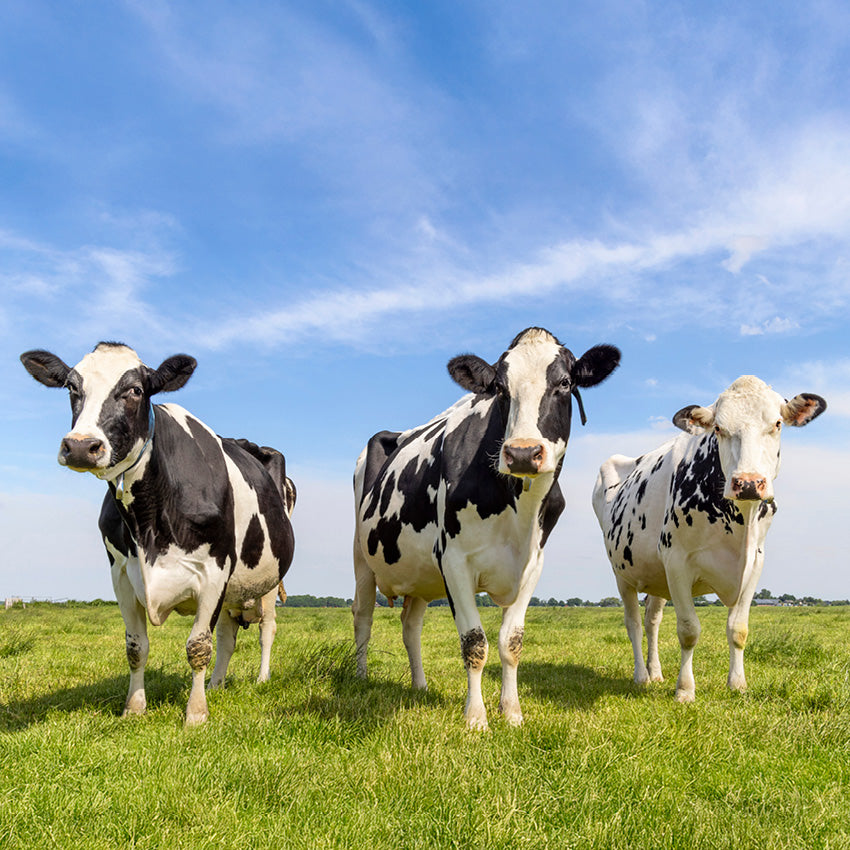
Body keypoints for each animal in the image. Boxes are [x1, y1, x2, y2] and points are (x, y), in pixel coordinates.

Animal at [20, 342, 295, 725]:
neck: (148, 522)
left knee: (266, 630)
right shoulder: (121, 574)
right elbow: (136, 647)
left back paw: (261, 679)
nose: (80, 446)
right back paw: (217, 685)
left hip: (267, 583)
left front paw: (195, 715)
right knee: (227, 637)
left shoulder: (214, 571)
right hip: (232, 591)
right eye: (72, 387)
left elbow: (198, 646)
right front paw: (134, 708)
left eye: (136, 390)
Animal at [353, 327, 621, 730]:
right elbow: (474, 641)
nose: (523, 453)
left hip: (419, 575)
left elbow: (511, 642)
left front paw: (511, 712)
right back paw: (360, 677)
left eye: (564, 382)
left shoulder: (532, 564)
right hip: (362, 558)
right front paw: (476, 718)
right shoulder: (453, 560)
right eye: (500, 389)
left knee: (410, 626)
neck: (517, 508)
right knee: (363, 617)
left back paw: (420, 685)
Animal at [592, 375, 826, 702]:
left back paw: (655, 672)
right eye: (718, 428)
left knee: (652, 621)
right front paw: (685, 690)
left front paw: (737, 684)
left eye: (778, 423)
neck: (739, 525)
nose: (749, 483)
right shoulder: (676, 560)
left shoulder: (755, 563)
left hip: (656, 576)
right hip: (622, 573)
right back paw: (641, 676)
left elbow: (738, 629)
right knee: (634, 624)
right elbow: (689, 630)